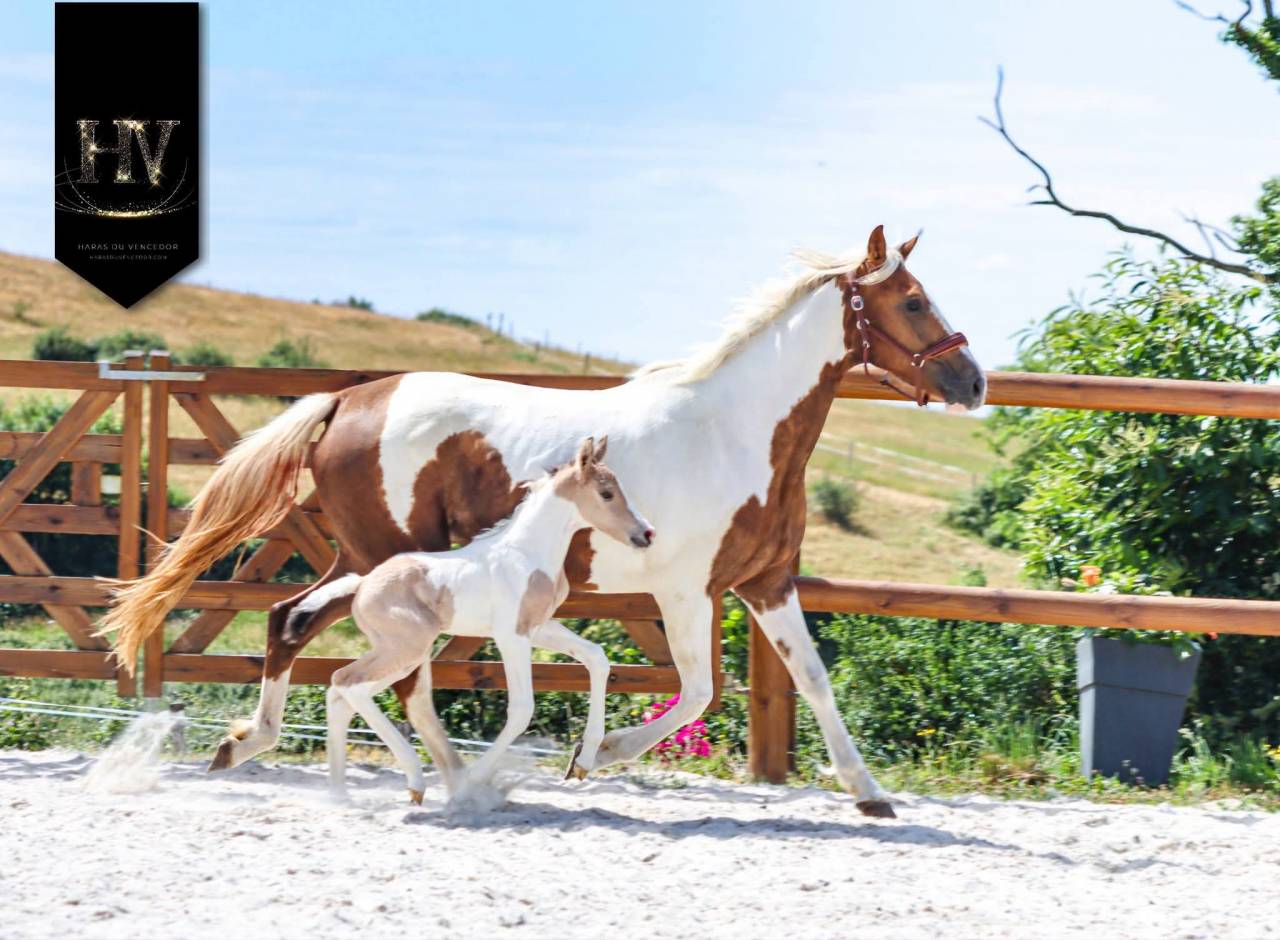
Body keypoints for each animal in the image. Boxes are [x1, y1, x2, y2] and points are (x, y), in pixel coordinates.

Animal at [323, 436, 652, 804]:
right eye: (606, 493)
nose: (646, 533)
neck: (527, 553)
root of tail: (363, 583)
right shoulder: (511, 636)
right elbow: (522, 708)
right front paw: (473, 782)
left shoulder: (539, 628)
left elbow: (596, 657)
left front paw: (581, 762)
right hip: (406, 649)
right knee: (348, 683)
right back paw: (414, 782)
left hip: (400, 654)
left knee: (340, 692)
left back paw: (340, 795)